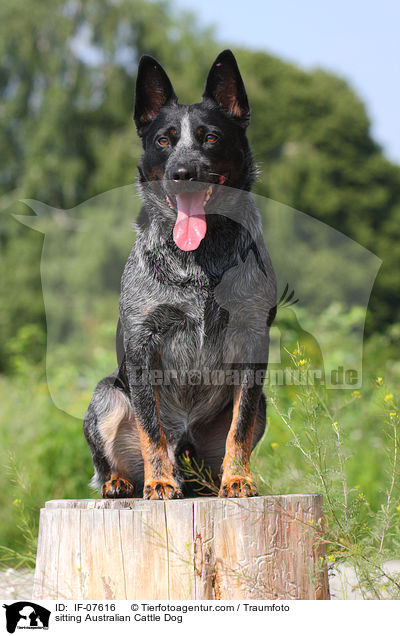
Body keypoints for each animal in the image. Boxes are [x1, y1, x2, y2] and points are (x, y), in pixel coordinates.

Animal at [83, 49, 276, 500]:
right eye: (164, 140)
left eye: (210, 138)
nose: (183, 173)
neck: (199, 261)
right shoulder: (142, 344)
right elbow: (150, 426)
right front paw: (159, 482)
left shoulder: (253, 343)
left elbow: (239, 427)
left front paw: (238, 479)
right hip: (106, 395)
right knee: (109, 460)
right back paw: (124, 482)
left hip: (256, 408)